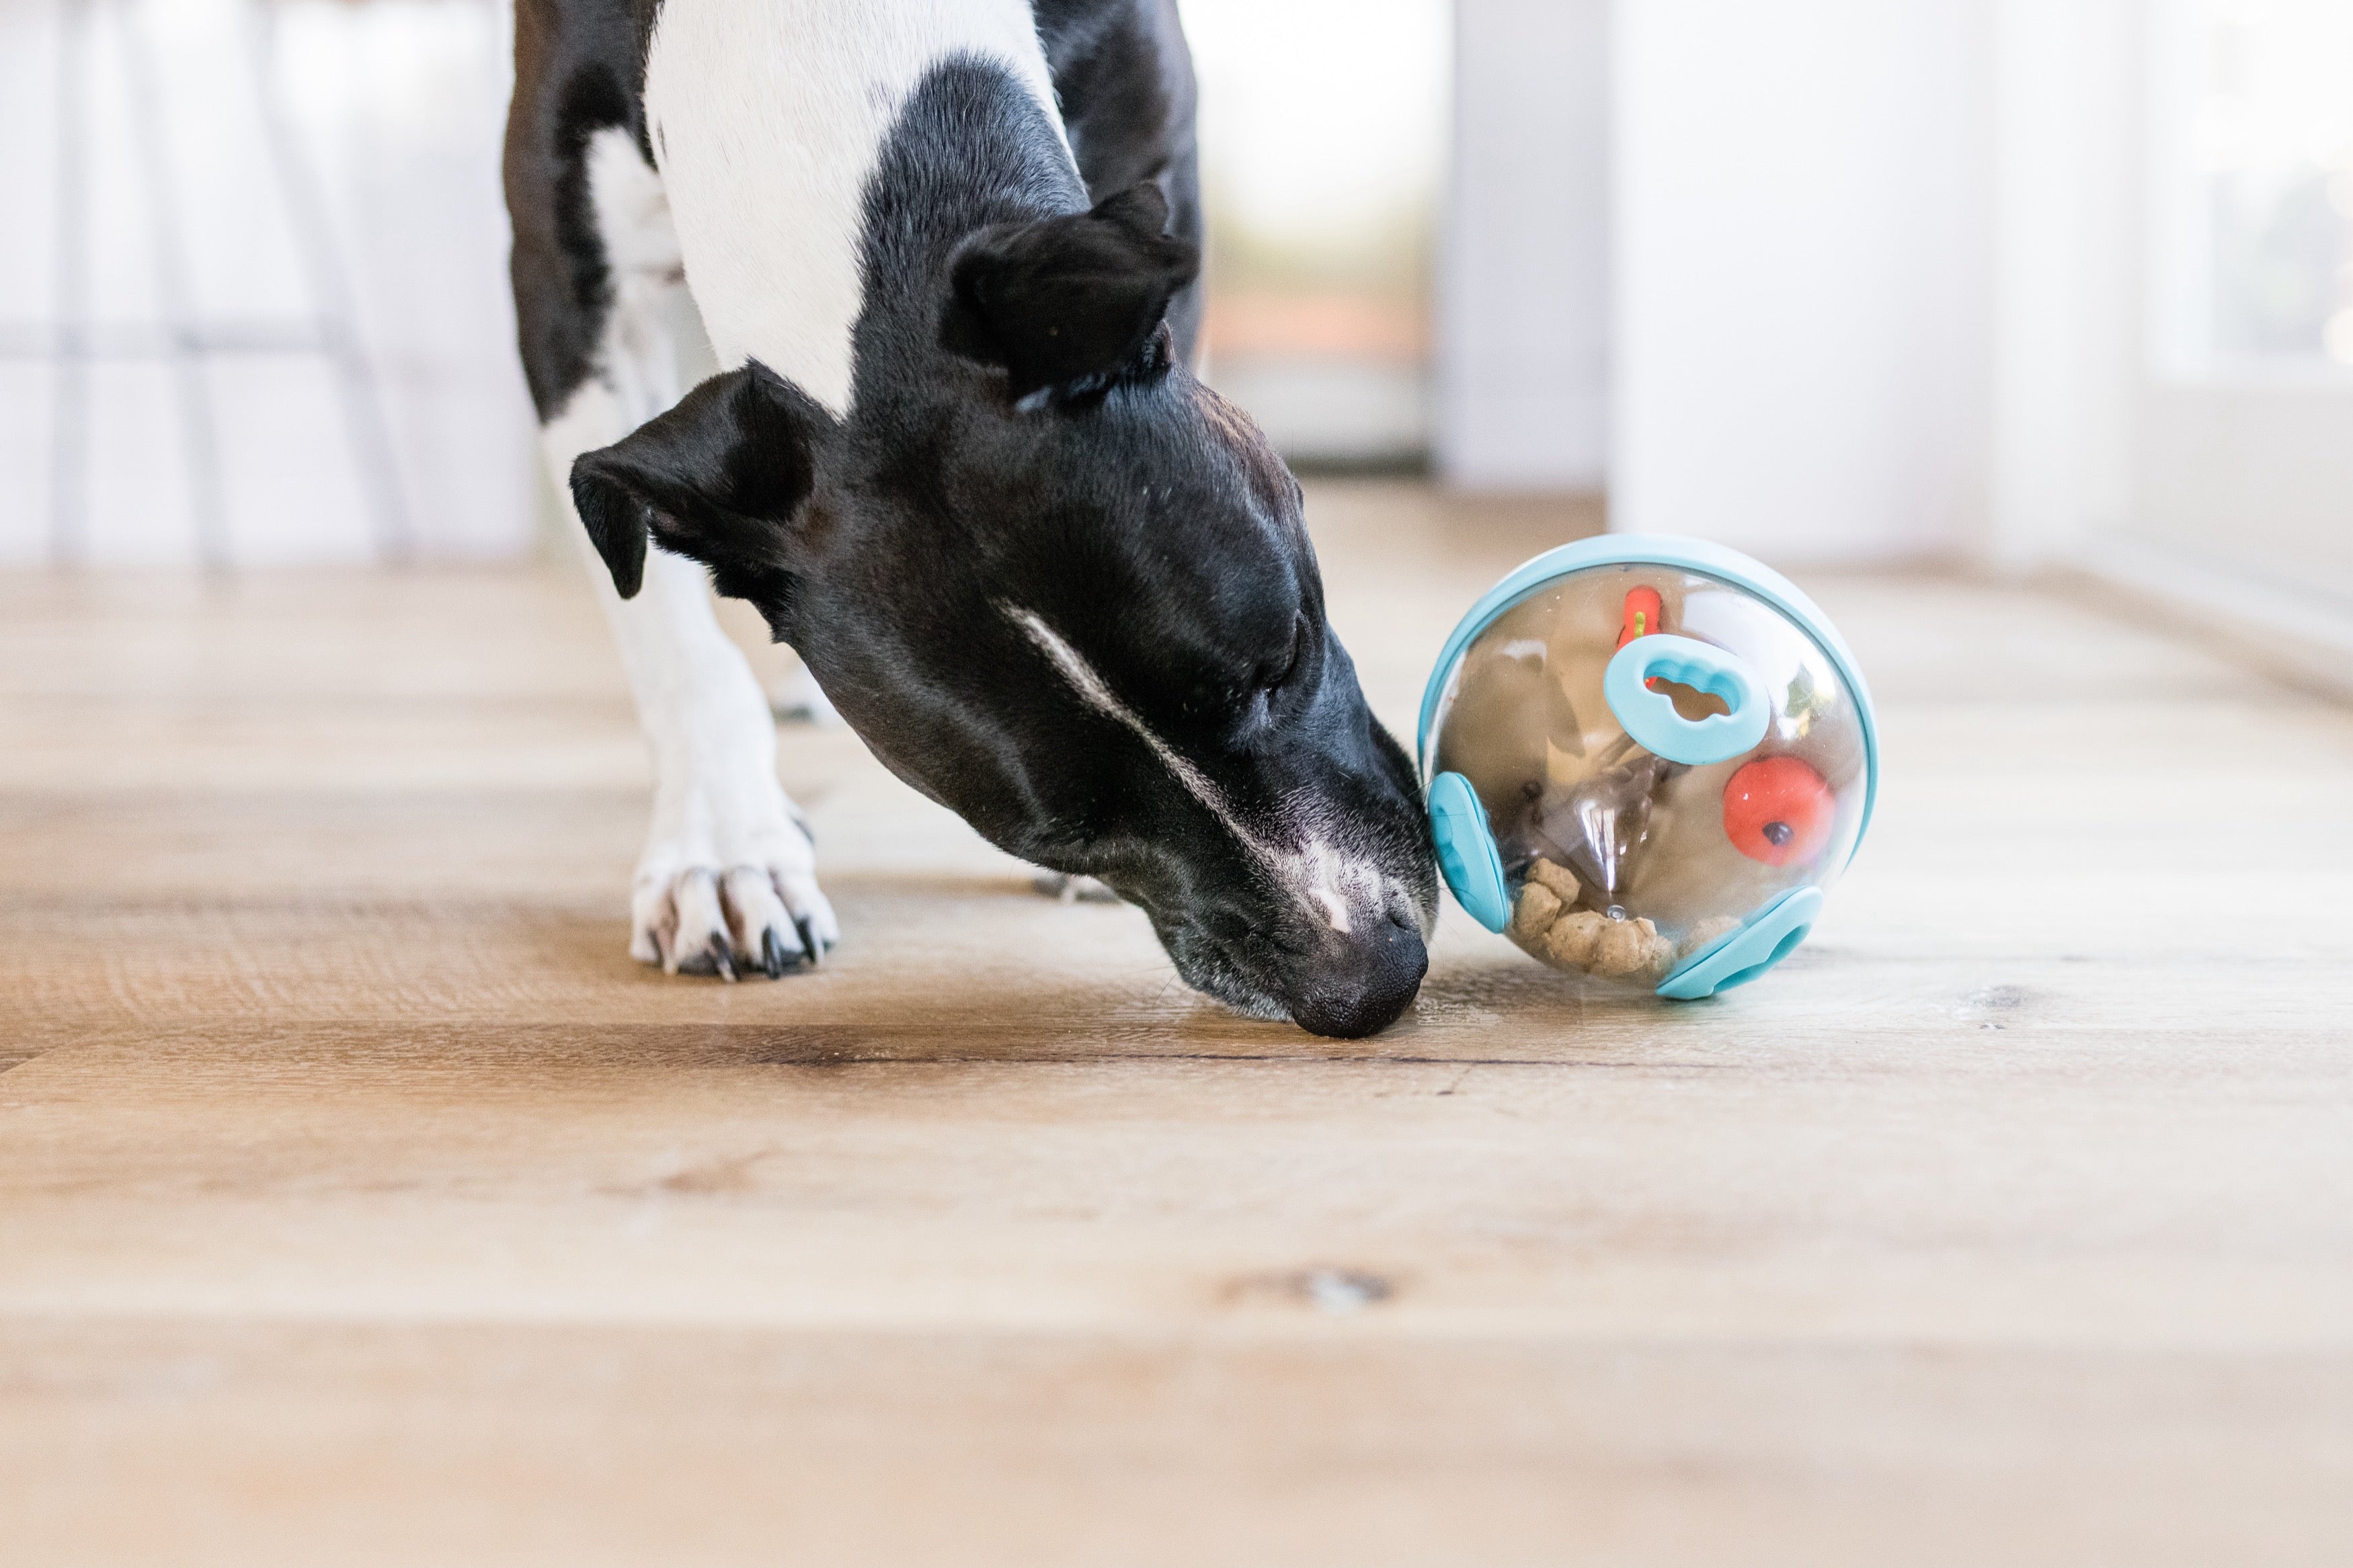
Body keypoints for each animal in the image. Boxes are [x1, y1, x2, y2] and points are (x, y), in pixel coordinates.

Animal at [501, 3, 1431, 1044]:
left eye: (1287, 659)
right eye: (1063, 832)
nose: (1373, 980)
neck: (818, 44)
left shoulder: (1161, 157)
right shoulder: (564, 282)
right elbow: (666, 634)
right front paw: (725, 842)